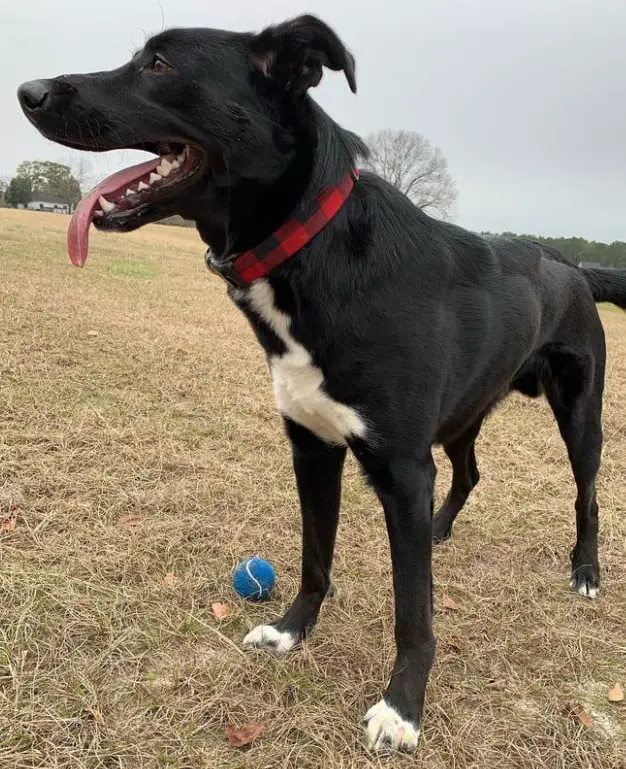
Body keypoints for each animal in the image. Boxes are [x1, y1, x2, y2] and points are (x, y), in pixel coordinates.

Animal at [18, 15, 624, 752]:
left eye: (159, 63)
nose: (27, 91)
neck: (311, 244)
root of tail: (576, 267)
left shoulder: (401, 469)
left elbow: (413, 609)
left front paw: (402, 707)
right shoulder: (312, 446)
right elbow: (315, 555)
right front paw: (290, 630)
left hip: (579, 414)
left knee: (587, 494)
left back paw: (585, 569)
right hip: (464, 412)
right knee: (470, 470)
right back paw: (441, 529)